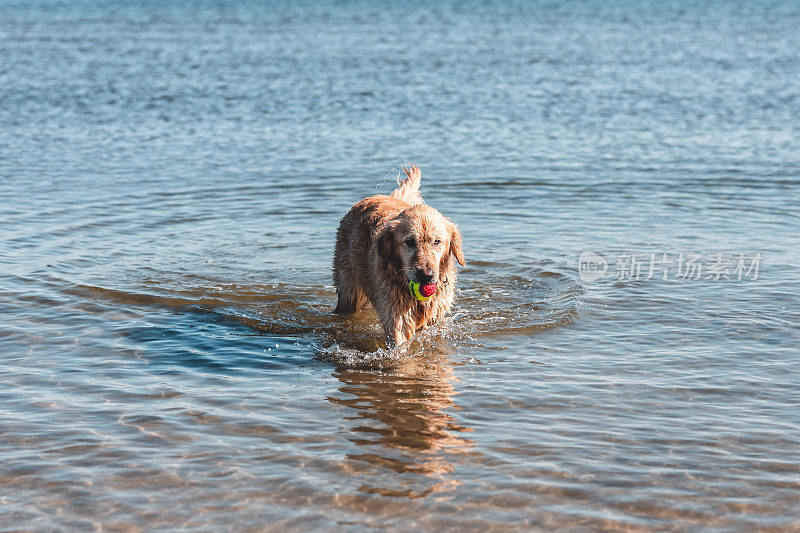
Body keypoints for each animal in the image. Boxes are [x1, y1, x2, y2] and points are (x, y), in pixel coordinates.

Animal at [334, 166, 466, 350]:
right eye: (409, 242)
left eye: (436, 241)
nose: (426, 275)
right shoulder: (396, 316)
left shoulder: (435, 316)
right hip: (348, 292)